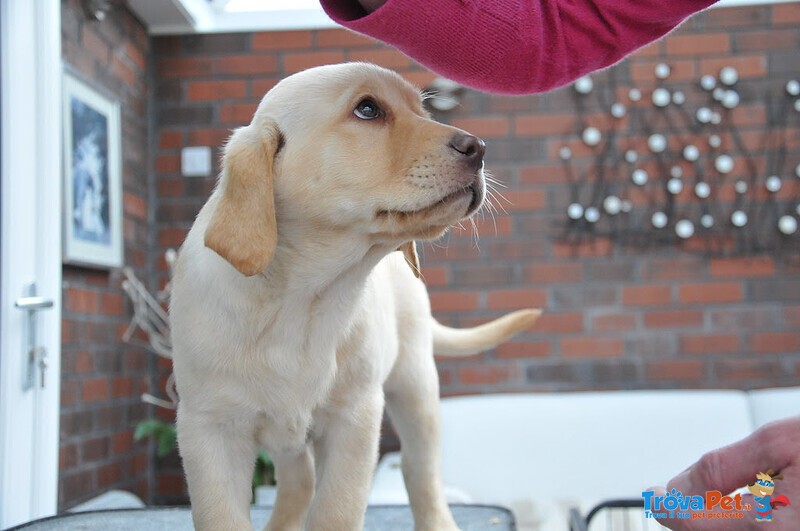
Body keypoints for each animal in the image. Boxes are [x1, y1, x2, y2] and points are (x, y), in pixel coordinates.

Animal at [171, 63, 540, 531]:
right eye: (368, 109)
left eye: (424, 111)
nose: (479, 148)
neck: (303, 297)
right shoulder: (209, 429)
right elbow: (222, 516)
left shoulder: (355, 419)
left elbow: (336, 512)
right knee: (300, 481)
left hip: (415, 384)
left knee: (421, 472)